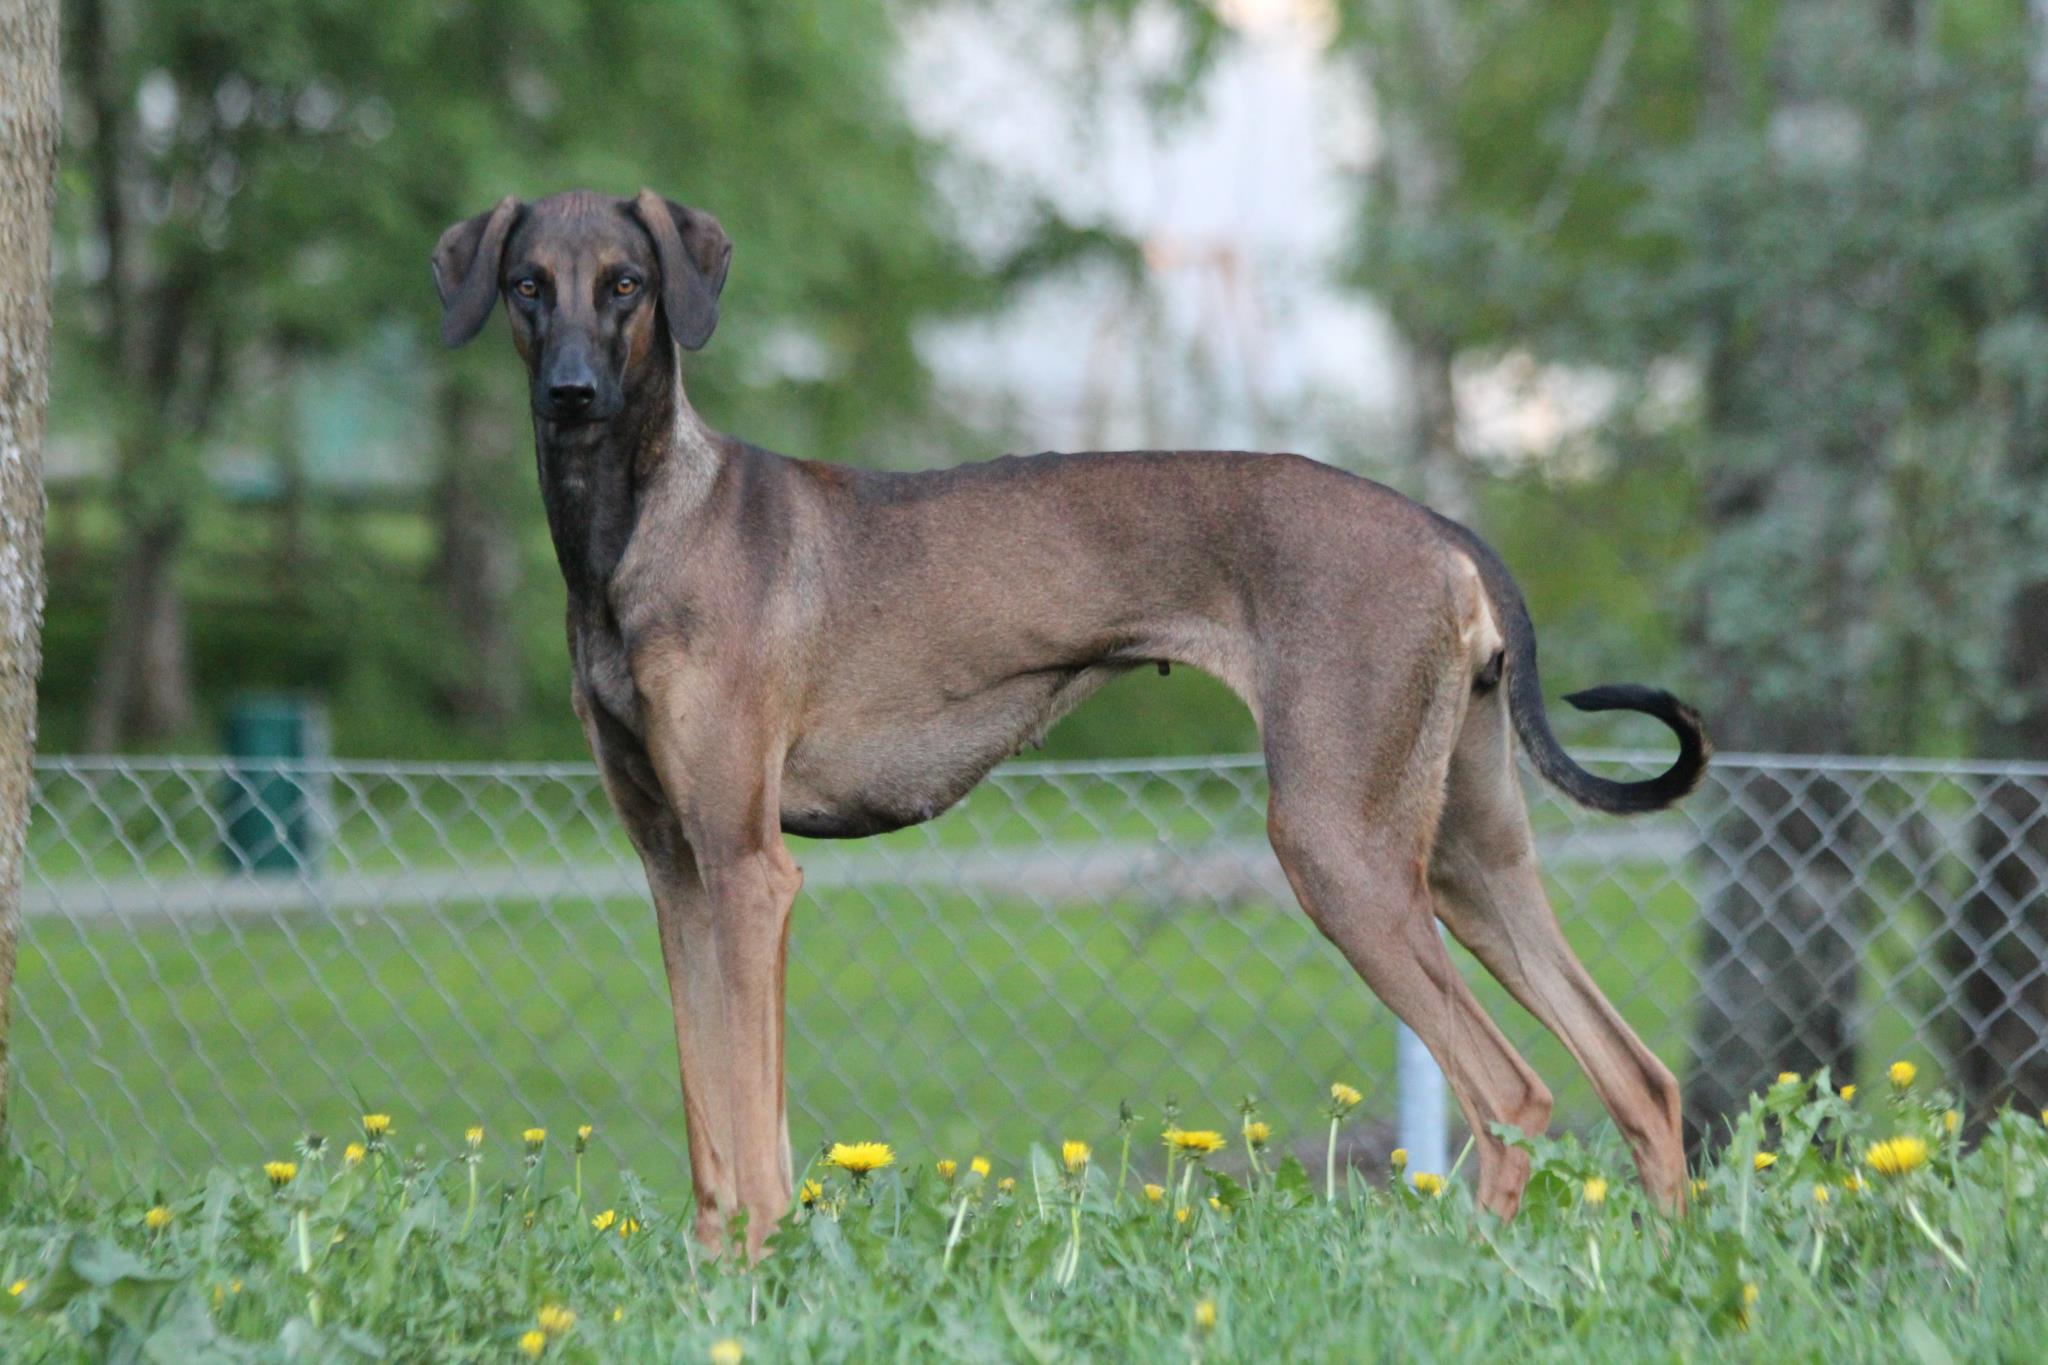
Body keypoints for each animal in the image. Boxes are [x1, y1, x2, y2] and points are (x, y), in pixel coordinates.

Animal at [436, 187, 1712, 1252]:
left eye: (625, 284)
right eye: (528, 284)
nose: (570, 396)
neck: (641, 529)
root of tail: (1437, 528)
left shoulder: (749, 873)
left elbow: (752, 1142)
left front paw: (753, 1281)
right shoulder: (675, 873)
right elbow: (711, 1124)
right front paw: (710, 1282)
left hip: (1339, 852)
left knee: (1513, 1093)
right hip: (1464, 858)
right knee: (1637, 1080)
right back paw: (1660, 1271)